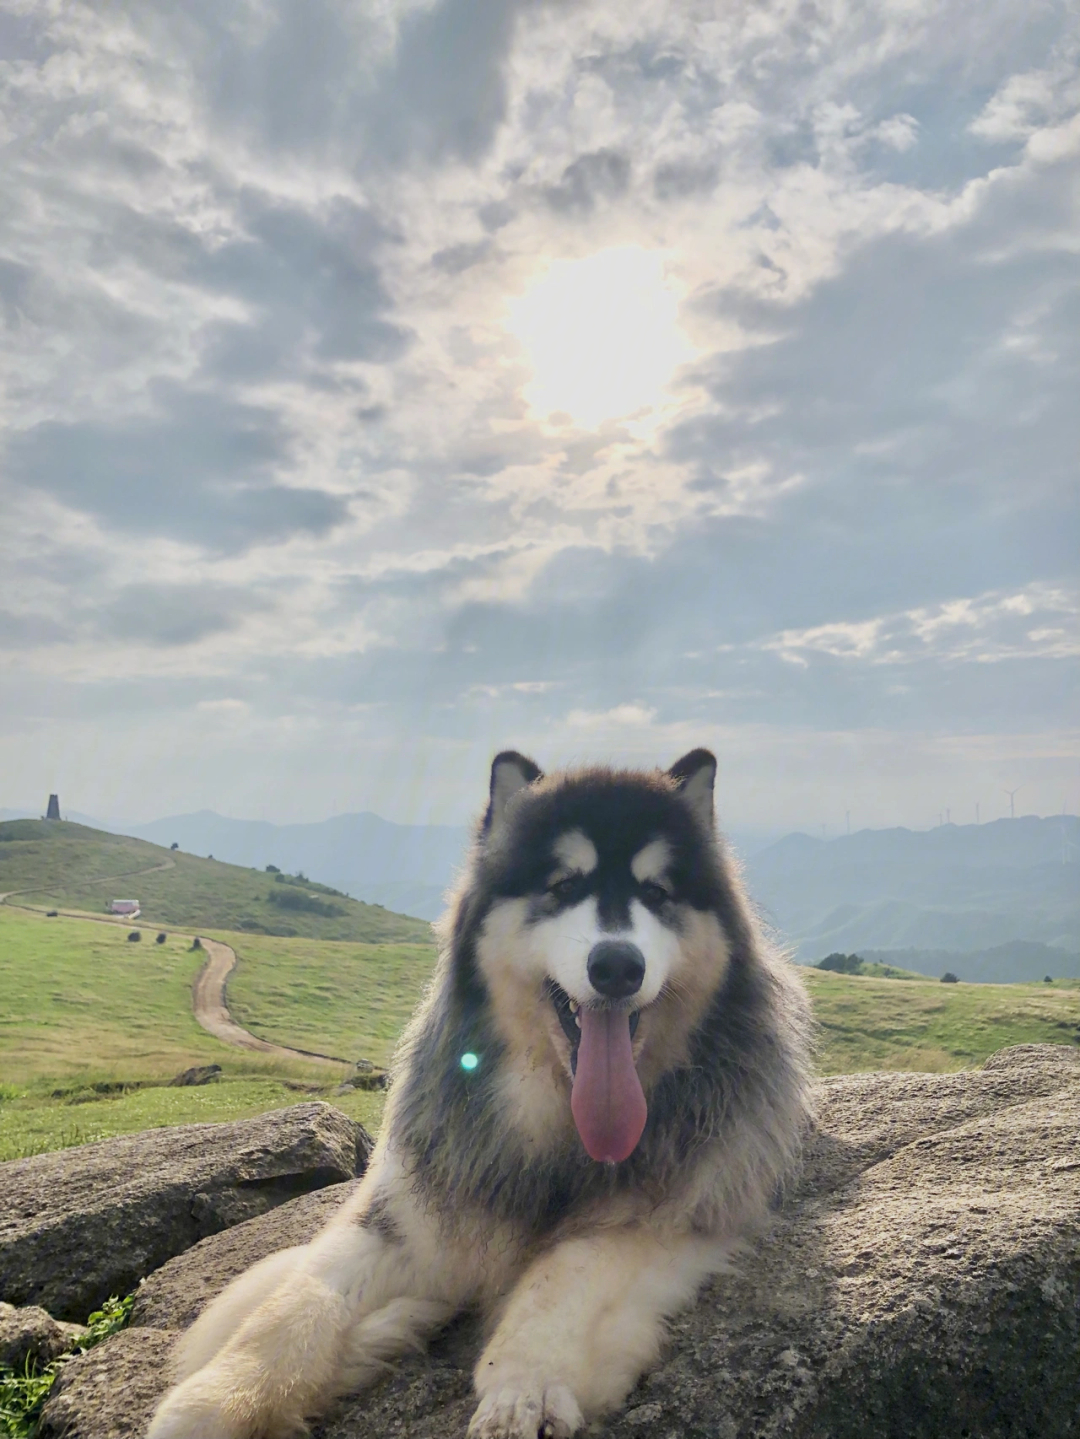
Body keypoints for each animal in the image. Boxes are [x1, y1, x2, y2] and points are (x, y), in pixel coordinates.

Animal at [150, 754, 811, 1439]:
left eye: (657, 893)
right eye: (562, 886)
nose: (617, 967)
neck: (556, 1117)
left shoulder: (669, 1210)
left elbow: (561, 1276)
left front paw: (524, 1387)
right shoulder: (404, 1207)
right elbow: (298, 1302)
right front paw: (211, 1402)